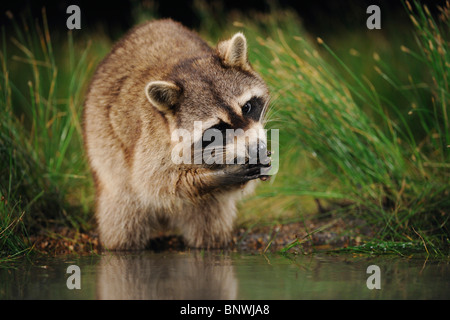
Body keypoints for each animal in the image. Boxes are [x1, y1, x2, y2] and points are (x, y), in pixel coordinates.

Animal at [83, 19, 270, 250]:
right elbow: (153, 183)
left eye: (247, 107)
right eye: (218, 128)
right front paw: (218, 175)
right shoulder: (150, 138)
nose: (257, 148)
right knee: (124, 214)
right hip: (104, 151)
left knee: (212, 219)